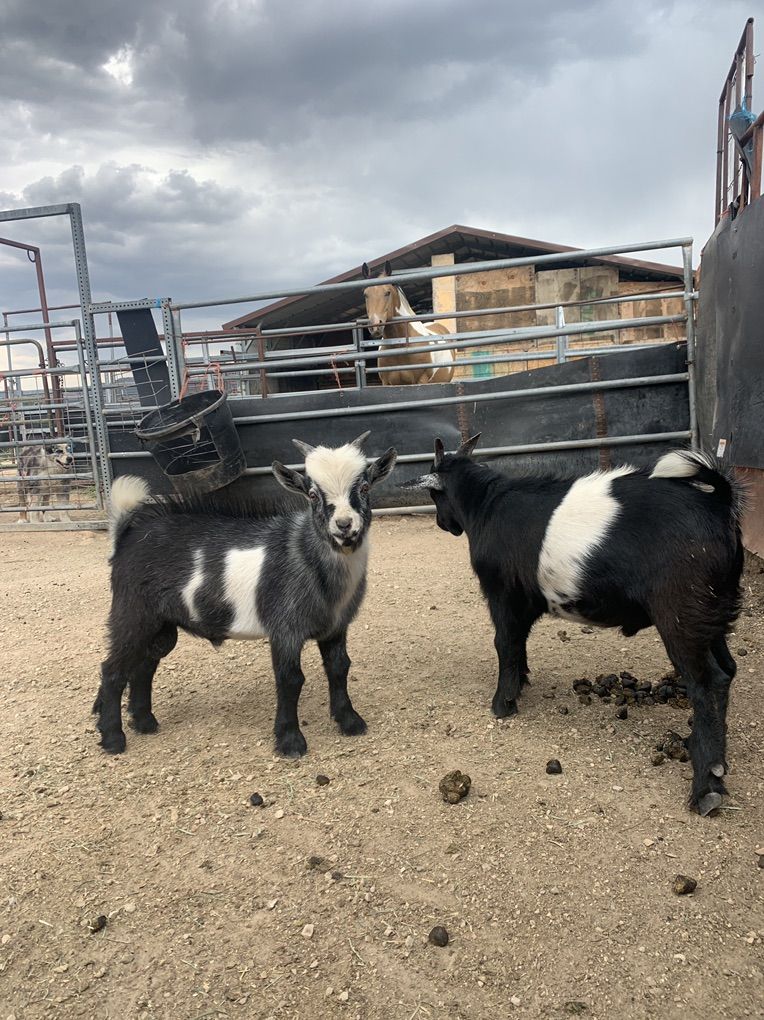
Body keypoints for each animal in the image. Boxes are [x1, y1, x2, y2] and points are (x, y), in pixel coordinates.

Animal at [93, 432, 397, 758]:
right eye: (313, 494)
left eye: (364, 487)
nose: (344, 526)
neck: (305, 556)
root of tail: (126, 538)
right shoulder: (285, 629)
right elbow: (291, 679)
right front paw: (290, 741)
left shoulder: (336, 627)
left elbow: (339, 668)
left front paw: (350, 722)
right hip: (132, 612)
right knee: (112, 669)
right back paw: (113, 738)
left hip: (161, 624)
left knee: (144, 665)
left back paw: (145, 722)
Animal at [401, 437, 745, 816]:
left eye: (435, 495)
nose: (442, 524)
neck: (486, 505)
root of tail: (718, 504)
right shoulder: (527, 601)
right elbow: (518, 642)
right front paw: (521, 682)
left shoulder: (502, 593)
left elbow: (504, 642)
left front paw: (503, 704)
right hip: (710, 614)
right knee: (727, 670)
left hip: (681, 614)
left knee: (707, 682)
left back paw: (706, 786)